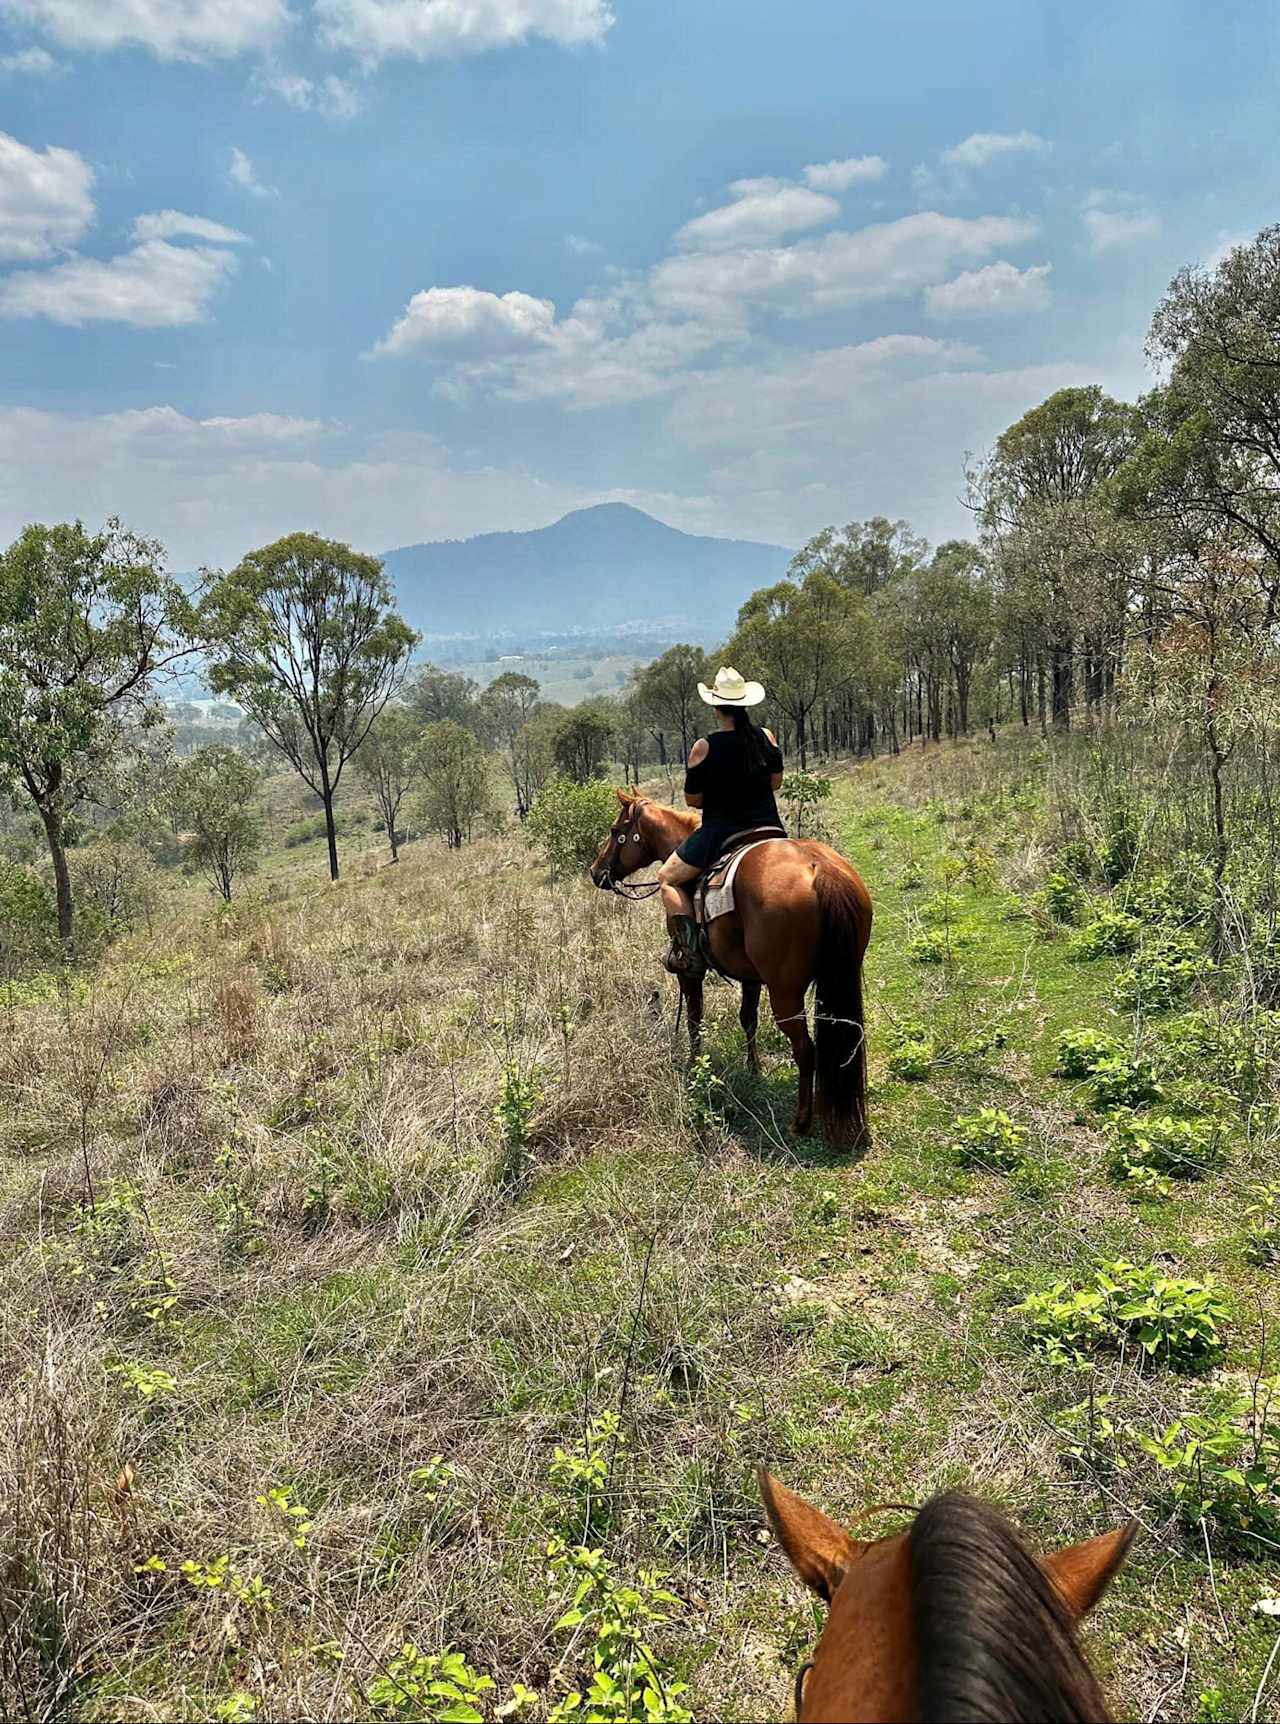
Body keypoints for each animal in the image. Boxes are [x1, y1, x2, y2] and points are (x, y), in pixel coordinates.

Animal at [589, 793, 872, 1144]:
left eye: (615, 831)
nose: (596, 872)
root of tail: (820, 868)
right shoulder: (751, 977)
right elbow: (748, 1020)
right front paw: (753, 1068)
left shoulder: (689, 972)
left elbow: (694, 1019)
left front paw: (695, 1065)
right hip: (836, 979)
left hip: (786, 994)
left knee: (806, 1050)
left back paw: (801, 1122)